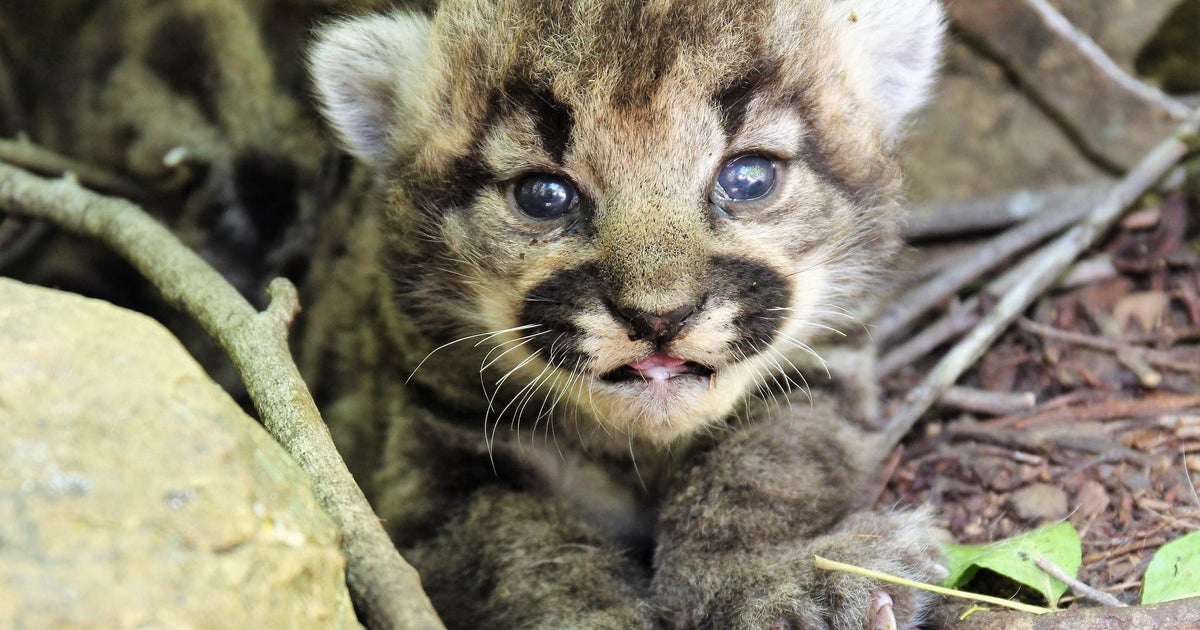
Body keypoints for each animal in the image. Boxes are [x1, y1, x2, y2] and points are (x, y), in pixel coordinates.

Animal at [309, 2, 945, 624]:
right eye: (543, 196)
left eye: (749, 176)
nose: (659, 317)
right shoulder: (428, 448)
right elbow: (518, 551)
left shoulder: (821, 367)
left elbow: (768, 466)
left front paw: (776, 578)